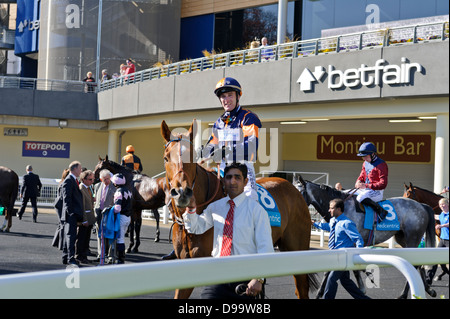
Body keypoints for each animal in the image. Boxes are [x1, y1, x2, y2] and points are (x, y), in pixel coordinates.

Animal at [161, 120, 316, 300]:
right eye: (166, 157)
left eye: (192, 157)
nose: (182, 192)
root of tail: (294, 189)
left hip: (297, 248)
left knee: (302, 288)